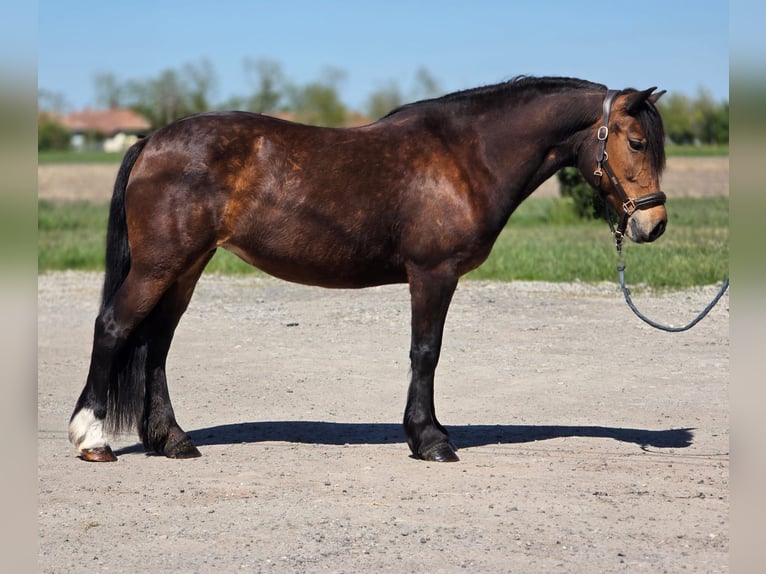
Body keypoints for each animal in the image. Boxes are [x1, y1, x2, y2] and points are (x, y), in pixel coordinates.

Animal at [68, 76, 667, 464]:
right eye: (637, 142)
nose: (654, 224)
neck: (465, 155)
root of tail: (151, 141)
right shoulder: (433, 274)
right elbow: (426, 352)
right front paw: (430, 440)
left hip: (186, 268)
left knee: (157, 346)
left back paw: (172, 441)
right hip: (160, 265)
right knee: (114, 328)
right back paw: (93, 439)